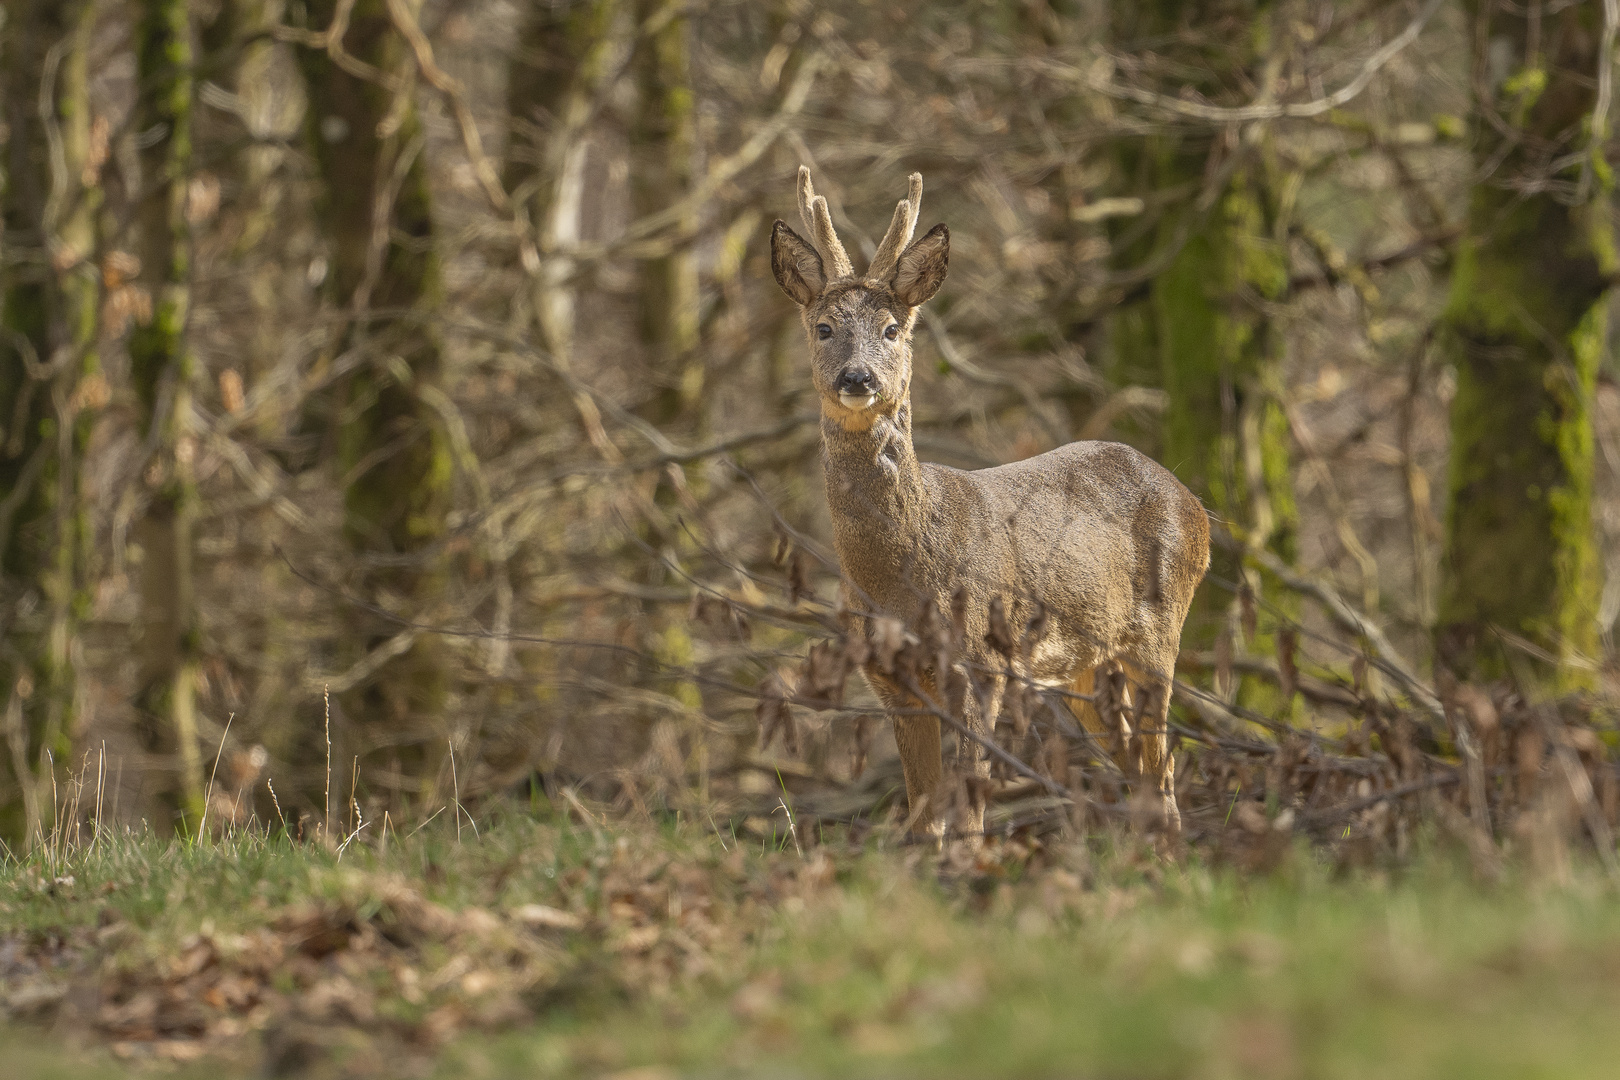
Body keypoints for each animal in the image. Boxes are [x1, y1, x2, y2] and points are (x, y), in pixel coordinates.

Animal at [767, 169, 1205, 841]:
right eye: (823, 328)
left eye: (893, 329)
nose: (858, 378)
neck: (901, 579)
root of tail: (1197, 506)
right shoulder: (889, 678)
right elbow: (923, 812)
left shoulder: (981, 661)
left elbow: (968, 804)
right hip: (1084, 663)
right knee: (1140, 766)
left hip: (1159, 629)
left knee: (1161, 765)